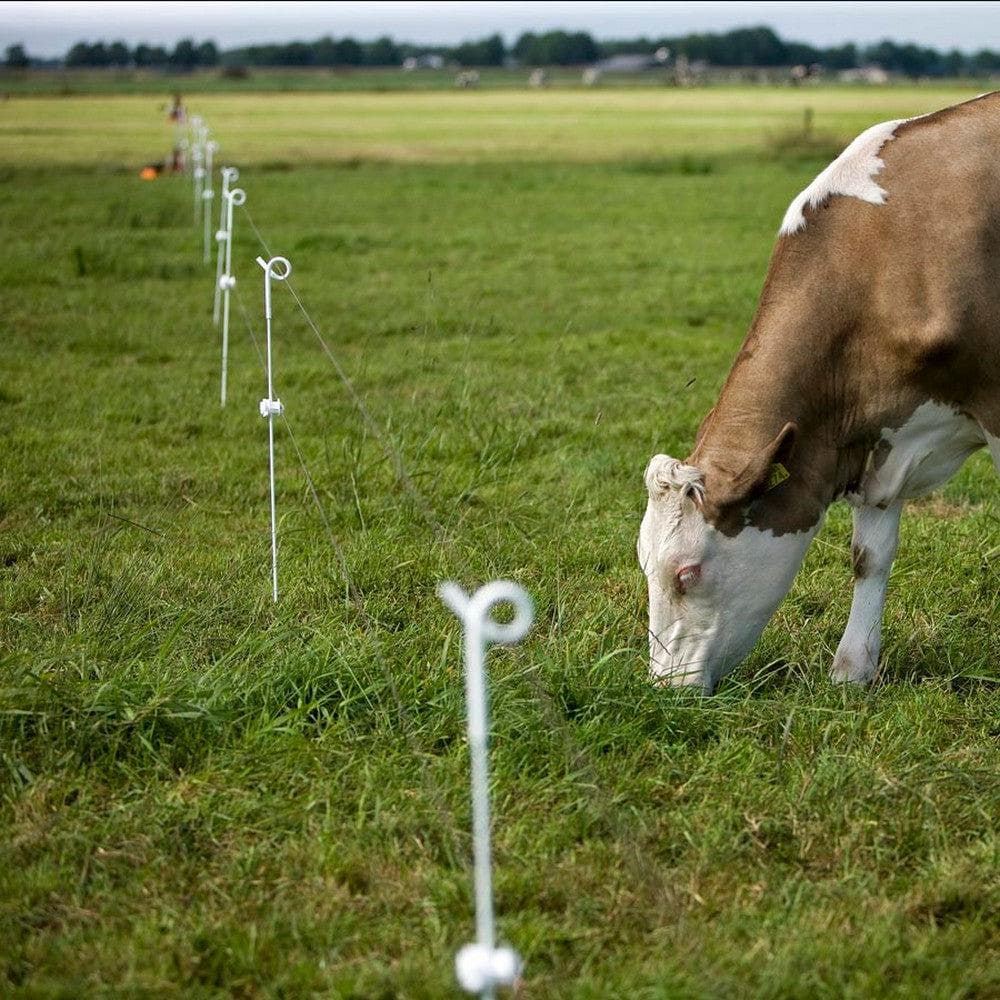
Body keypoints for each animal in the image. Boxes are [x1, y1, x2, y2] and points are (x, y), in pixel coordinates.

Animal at [640, 92, 1000, 688]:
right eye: (644, 563)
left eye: (687, 573)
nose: (665, 688)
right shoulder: (878, 436)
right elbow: (868, 555)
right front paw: (853, 669)